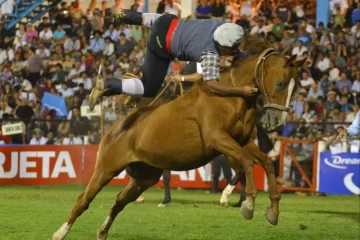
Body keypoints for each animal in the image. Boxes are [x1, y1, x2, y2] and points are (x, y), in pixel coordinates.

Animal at [51, 40, 304, 238]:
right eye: (281, 83)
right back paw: (61, 232)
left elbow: (265, 162)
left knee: (119, 201)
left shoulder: (241, 142)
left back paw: (102, 231)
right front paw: (250, 204)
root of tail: (116, 128)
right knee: (83, 200)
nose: (278, 120)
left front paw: (272, 209)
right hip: (106, 169)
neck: (230, 95)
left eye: (290, 86)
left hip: (144, 177)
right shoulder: (219, 139)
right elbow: (249, 162)